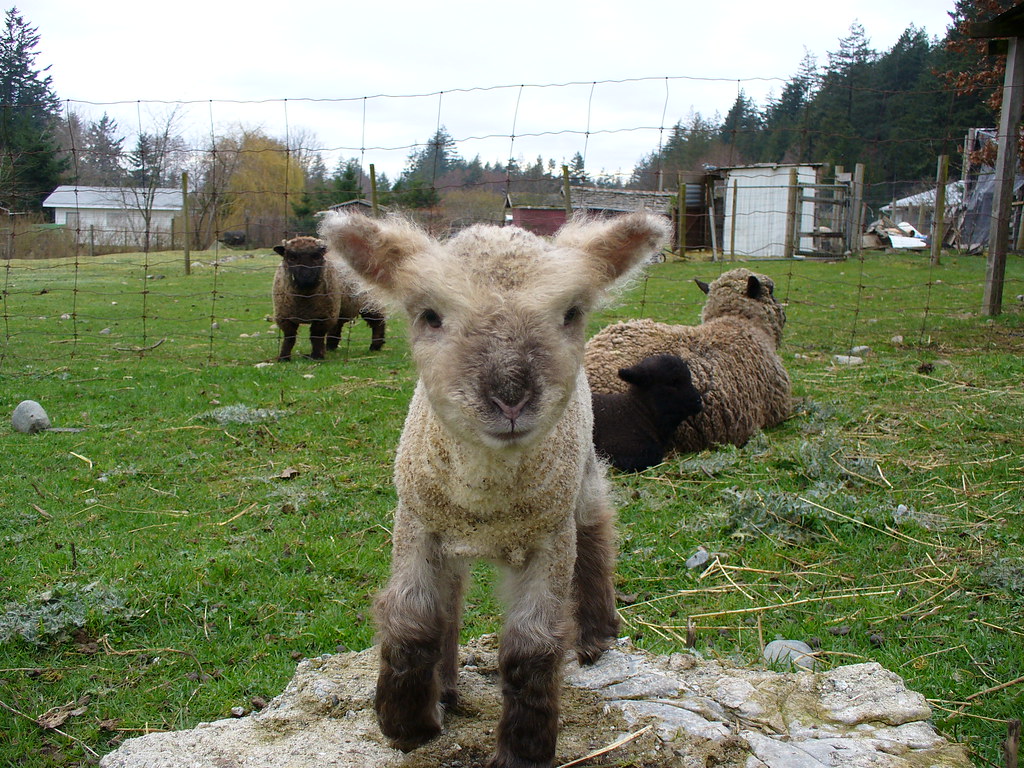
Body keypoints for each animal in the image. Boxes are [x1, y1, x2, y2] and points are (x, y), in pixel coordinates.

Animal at [319, 210, 670, 768]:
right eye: (430, 316)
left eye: (571, 313)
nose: (510, 398)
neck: (487, 500)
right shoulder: (416, 520)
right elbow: (414, 616)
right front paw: (407, 725)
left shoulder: (550, 539)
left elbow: (532, 646)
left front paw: (524, 749)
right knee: (451, 599)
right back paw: (444, 687)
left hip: (582, 477)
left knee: (596, 528)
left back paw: (596, 634)